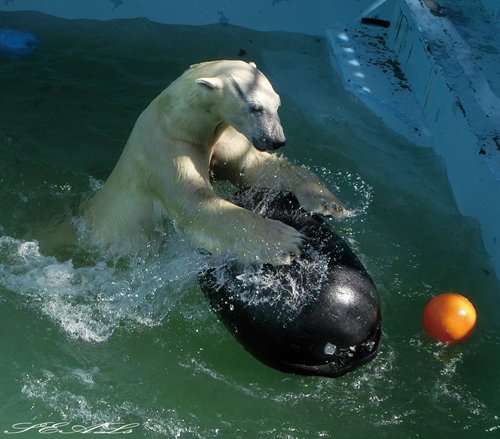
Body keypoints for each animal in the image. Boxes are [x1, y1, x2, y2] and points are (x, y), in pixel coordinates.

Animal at [84, 58, 348, 264]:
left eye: (277, 103)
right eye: (255, 107)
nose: (276, 140)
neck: (177, 123)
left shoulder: (220, 139)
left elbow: (254, 167)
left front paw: (328, 203)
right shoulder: (165, 153)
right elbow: (197, 205)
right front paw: (287, 241)